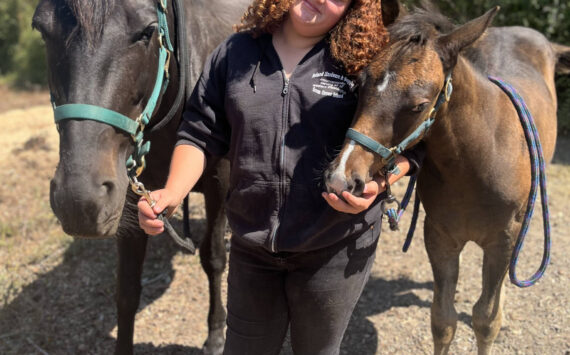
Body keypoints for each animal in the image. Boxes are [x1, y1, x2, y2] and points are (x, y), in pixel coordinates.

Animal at [32, 0, 246, 354]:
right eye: (42, 30)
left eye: (148, 31)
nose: (80, 202)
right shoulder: (131, 198)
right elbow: (128, 288)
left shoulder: (220, 182)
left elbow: (214, 258)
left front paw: (216, 334)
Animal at [324, 1, 568, 354]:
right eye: (360, 85)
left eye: (419, 105)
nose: (342, 179)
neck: (477, 161)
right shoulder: (439, 236)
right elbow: (442, 320)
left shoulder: (504, 239)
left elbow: (485, 319)